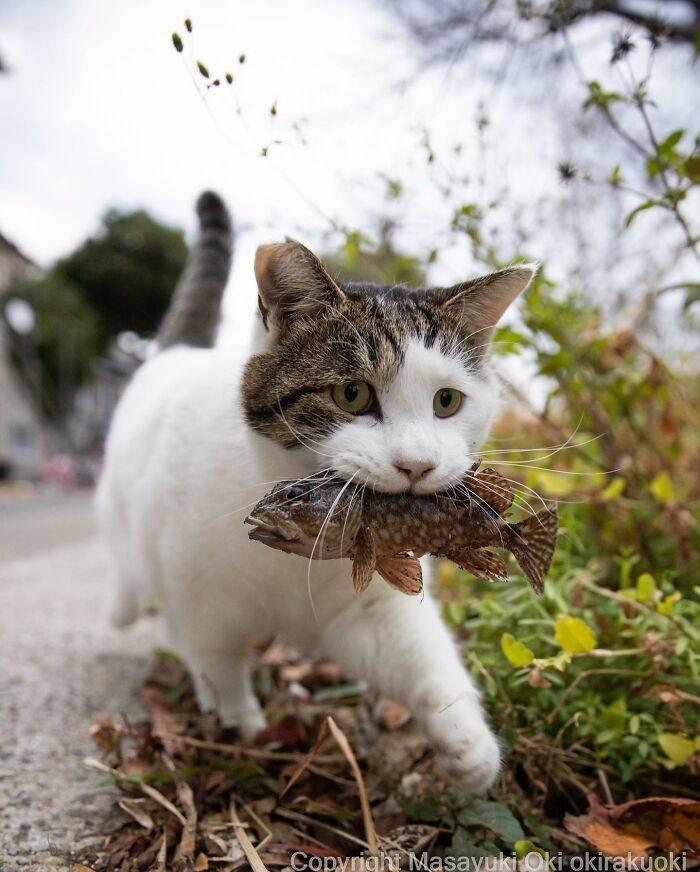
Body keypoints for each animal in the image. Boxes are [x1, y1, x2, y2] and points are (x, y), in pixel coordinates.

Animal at [97, 191, 536, 792]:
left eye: (447, 402)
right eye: (351, 394)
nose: (417, 464)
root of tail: (176, 354)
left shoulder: (368, 608)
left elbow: (422, 657)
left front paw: (469, 747)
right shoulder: (201, 603)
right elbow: (217, 665)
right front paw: (242, 725)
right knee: (125, 566)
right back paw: (123, 609)